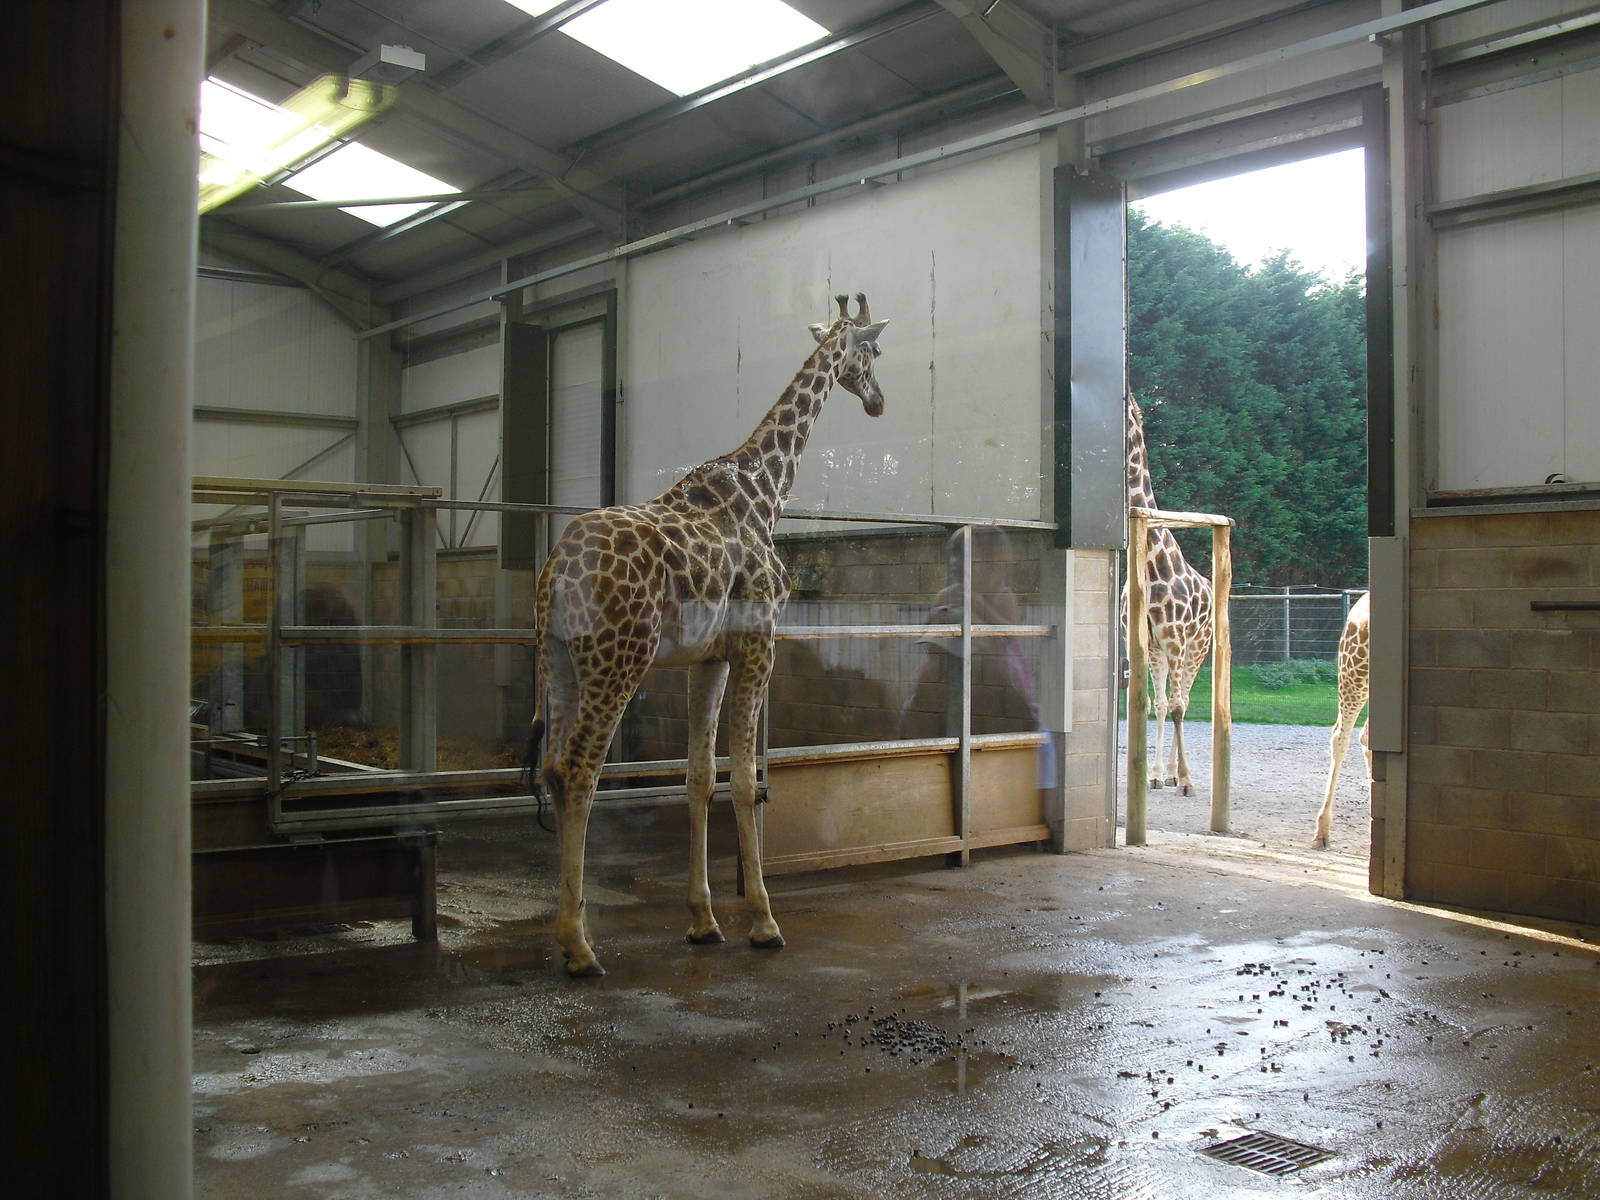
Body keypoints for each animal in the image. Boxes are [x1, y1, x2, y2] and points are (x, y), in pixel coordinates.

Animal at [527, 292, 889, 977]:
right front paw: (764, 923)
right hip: (618, 659)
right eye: (875, 350)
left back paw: (569, 936)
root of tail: (557, 570)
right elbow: (745, 780)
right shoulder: (759, 644)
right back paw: (580, 948)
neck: (767, 488)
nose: (879, 402)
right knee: (581, 769)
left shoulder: (708, 658)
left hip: (557, 659)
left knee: (553, 768)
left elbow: (699, 776)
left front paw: (702, 921)